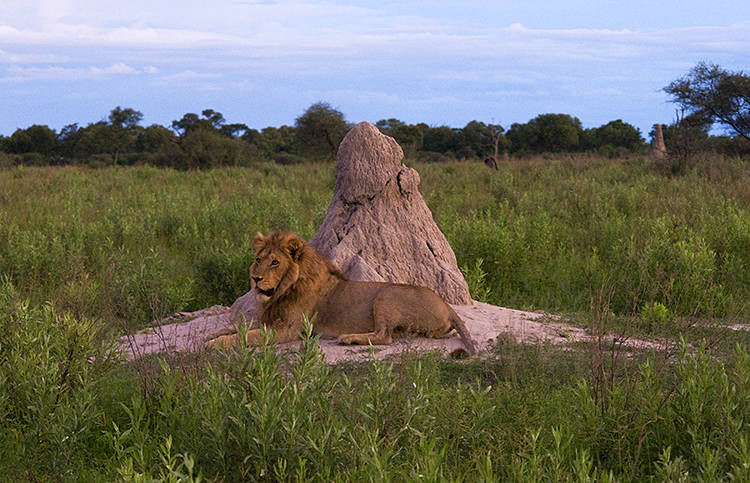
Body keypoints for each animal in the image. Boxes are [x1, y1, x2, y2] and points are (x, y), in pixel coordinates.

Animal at [207, 231, 476, 356]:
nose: (256, 279)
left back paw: (349, 338)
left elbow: (247, 336)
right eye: (258, 260)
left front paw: (215, 343)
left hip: (386, 294)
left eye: (275, 263)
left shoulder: (288, 330)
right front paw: (215, 333)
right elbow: (241, 327)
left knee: (385, 336)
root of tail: (449, 307)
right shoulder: (269, 319)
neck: (282, 290)